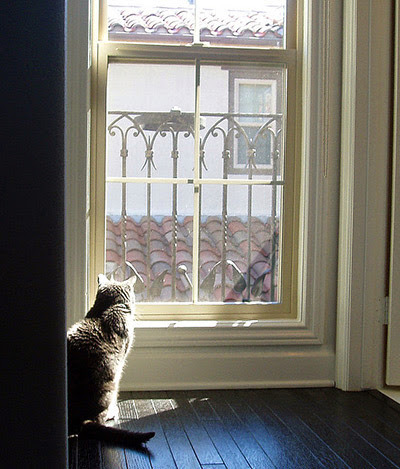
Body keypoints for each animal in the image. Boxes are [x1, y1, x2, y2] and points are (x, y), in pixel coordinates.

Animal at [67, 274, 155, 446]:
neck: (107, 308)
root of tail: (78, 419)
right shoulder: (121, 361)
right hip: (110, 384)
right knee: (99, 417)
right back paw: (112, 412)